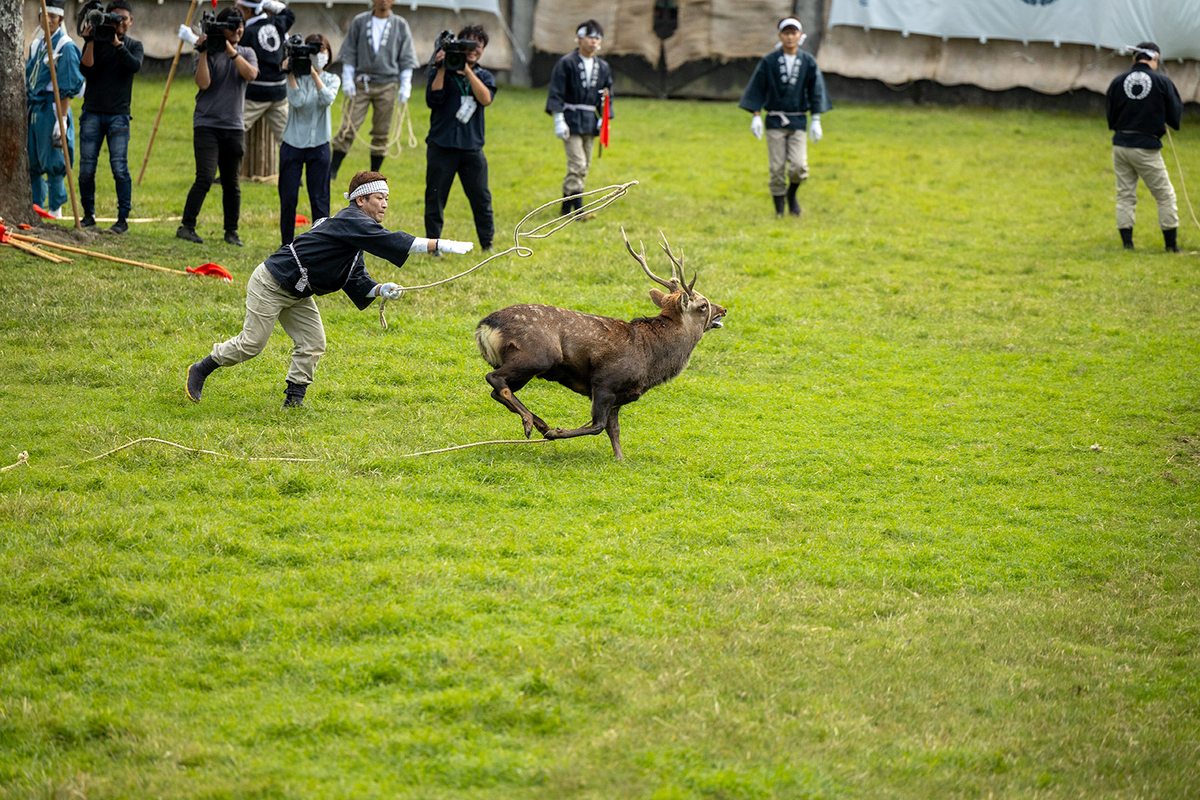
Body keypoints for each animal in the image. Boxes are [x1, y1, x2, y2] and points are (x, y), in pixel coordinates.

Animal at [475, 227, 720, 460]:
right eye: (703, 305)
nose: (723, 309)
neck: (651, 359)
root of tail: (484, 327)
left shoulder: (619, 397)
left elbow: (614, 429)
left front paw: (620, 459)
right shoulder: (605, 383)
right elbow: (598, 426)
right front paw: (557, 432)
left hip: (526, 368)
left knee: (497, 391)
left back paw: (539, 423)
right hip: (536, 356)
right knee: (494, 378)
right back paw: (532, 422)